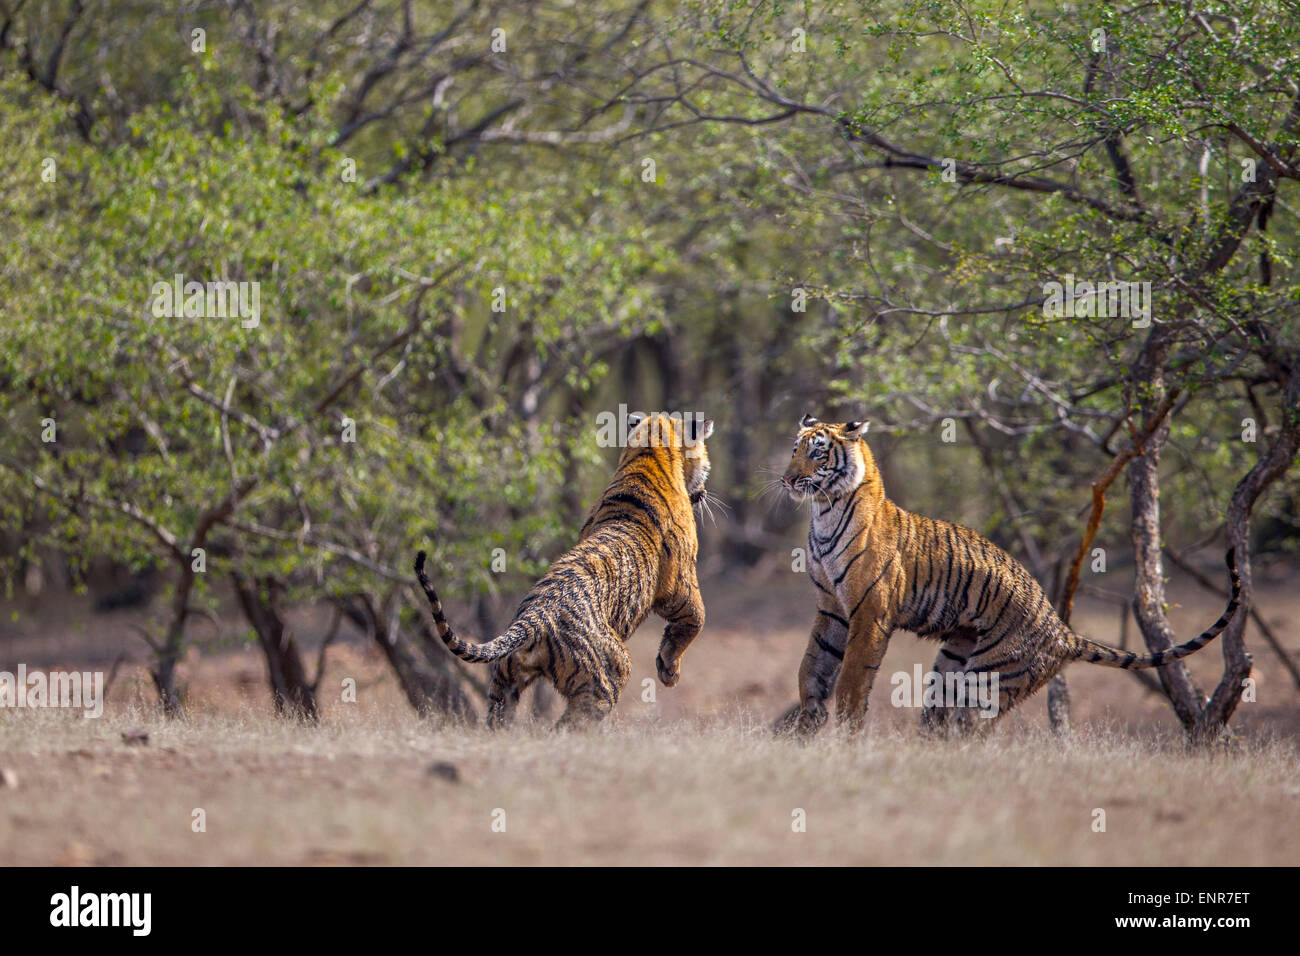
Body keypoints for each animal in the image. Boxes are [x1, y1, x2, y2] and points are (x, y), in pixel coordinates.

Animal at [414, 411, 714, 728]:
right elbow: (696, 618)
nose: (704, 491)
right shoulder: (680, 584)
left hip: (505, 680)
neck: (647, 455)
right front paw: (669, 671)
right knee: (565, 727)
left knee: (500, 718)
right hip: (609, 675)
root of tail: (533, 618)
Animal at [775, 414, 1241, 736]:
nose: (788, 479)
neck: (824, 511)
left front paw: (846, 733)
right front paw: (807, 722)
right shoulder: (833, 608)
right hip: (953, 667)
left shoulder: (870, 610)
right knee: (941, 725)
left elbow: (853, 677)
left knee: (970, 732)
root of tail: (1063, 631)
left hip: (989, 680)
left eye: (817, 452)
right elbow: (813, 666)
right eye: (794, 449)